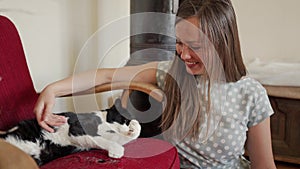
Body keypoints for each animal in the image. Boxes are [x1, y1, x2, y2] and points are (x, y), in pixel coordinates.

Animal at [0, 98, 141, 166]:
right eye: (124, 119)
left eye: (127, 122)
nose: (128, 128)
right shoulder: (77, 128)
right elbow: (98, 138)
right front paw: (117, 150)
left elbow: (123, 138)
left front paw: (135, 127)